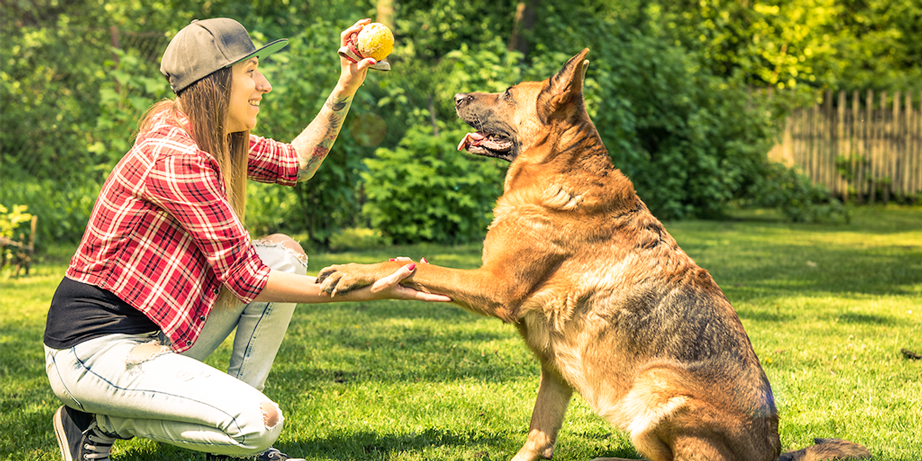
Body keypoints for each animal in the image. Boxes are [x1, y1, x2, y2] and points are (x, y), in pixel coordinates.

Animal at [316, 48, 868, 458]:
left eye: (509, 93)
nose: (455, 96)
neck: (558, 169)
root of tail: (773, 451)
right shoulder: (555, 368)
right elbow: (537, 438)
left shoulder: (495, 287)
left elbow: (402, 263)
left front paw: (353, 270)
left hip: (655, 393)